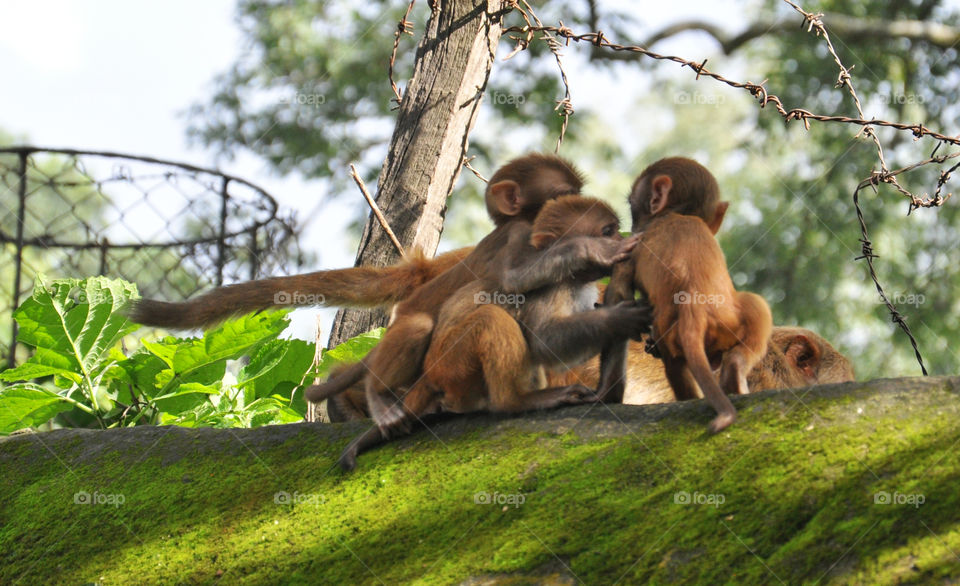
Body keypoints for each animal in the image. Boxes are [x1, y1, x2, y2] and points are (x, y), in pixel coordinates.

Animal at [330, 194, 652, 468]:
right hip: (450, 365)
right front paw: (618, 316)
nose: (623, 240)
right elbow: (544, 338)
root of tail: (428, 377)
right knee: (490, 319)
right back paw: (515, 402)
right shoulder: (553, 286)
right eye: (608, 231)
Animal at [600, 157, 772, 432]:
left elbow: (618, 293)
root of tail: (694, 304)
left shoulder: (632, 243)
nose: (633, 223)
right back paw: (732, 373)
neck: (674, 213)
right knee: (754, 306)